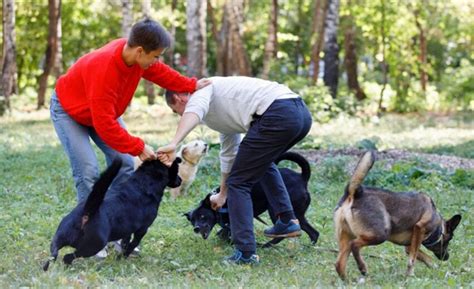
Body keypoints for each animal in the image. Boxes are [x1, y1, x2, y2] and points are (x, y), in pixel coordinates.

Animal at [43, 156, 181, 268]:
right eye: (175, 172)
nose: (180, 180)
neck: (143, 184)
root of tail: (87, 212)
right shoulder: (142, 229)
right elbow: (133, 243)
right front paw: (123, 257)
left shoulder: (127, 228)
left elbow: (125, 241)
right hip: (93, 245)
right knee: (68, 257)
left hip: (59, 236)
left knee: (53, 254)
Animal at [184, 150, 318, 246]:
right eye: (192, 221)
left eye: (202, 216)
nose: (196, 228)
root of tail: (302, 178)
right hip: (299, 214)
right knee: (314, 232)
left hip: (275, 211)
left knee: (283, 234)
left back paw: (266, 245)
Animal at [332, 151, 462, 280]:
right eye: (449, 239)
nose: (447, 257)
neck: (438, 225)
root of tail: (355, 193)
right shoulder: (420, 228)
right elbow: (412, 260)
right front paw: (410, 274)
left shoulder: (409, 246)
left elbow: (425, 258)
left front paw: (435, 268)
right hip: (380, 235)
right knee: (354, 245)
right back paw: (362, 267)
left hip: (346, 237)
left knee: (339, 264)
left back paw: (348, 280)